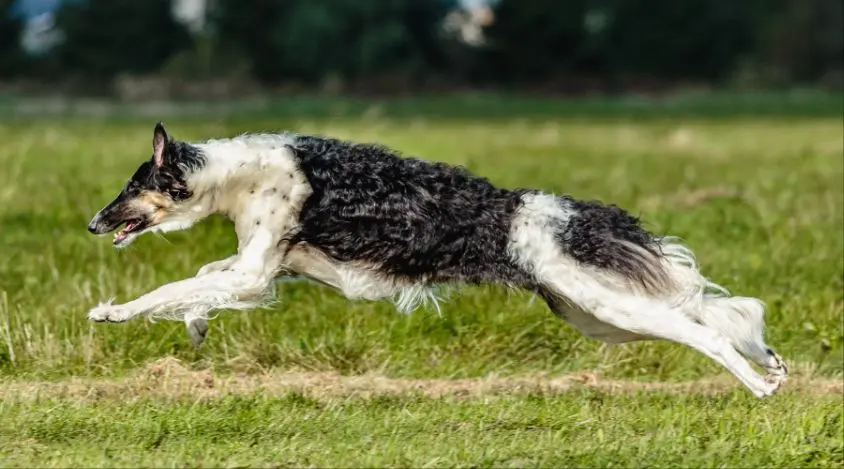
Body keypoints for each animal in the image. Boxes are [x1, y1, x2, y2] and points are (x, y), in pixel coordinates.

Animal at [87, 122, 792, 396]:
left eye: (129, 186)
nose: (94, 222)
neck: (234, 173)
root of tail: (573, 214)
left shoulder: (257, 267)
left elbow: (171, 288)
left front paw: (110, 312)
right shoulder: (268, 267)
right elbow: (201, 284)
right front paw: (197, 325)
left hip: (606, 304)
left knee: (706, 332)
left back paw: (759, 383)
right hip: (593, 314)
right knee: (717, 317)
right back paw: (772, 365)